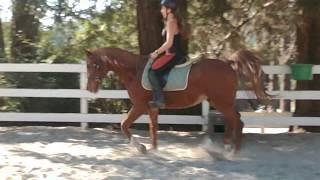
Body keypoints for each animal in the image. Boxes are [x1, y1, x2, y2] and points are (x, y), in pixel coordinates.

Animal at [85, 47, 270, 153]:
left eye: (94, 65)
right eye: (87, 65)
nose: (90, 88)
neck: (134, 71)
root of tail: (228, 64)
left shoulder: (139, 106)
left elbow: (124, 124)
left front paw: (141, 148)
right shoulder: (152, 108)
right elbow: (153, 129)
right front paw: (153, 149)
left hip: (222, 101)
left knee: (237, 121)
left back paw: (234, 151)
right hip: (221, 101)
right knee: (234, 119)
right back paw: (227, 146)